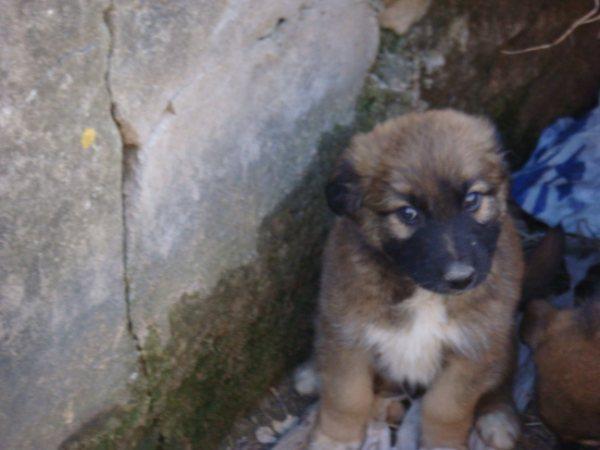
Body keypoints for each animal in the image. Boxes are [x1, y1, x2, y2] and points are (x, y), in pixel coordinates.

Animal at [310, 110, 524, 450]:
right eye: (408, 214)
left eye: (472, 200)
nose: (461, 279)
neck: (421, 293)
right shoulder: (346, 336)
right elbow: (346, 397)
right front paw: (335, 439)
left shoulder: (474, 349)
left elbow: (445, 408)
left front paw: (443, 445)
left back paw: (498, 418)